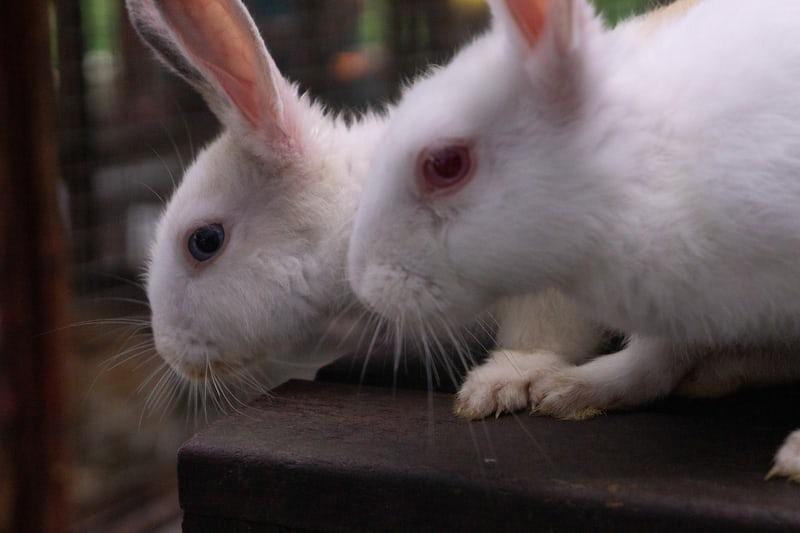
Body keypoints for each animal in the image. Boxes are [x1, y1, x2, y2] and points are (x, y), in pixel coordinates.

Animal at [347, 0, 800, 480]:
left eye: (445, 164)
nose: (361, 284)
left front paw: (794, 457)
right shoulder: (687, 307)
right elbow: (651, 365)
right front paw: (572, 390)